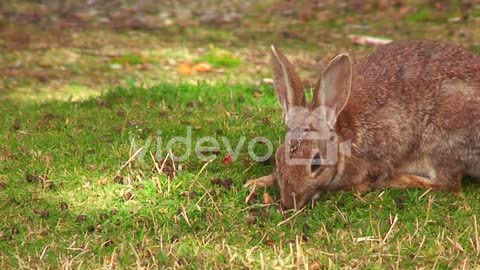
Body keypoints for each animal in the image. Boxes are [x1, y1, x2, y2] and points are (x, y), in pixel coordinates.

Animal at [248, 40, 480, 209]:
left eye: (316, 164)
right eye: (278, 158)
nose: (289, 203)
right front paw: (257, 182)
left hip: (442, 140)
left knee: (447, 183)